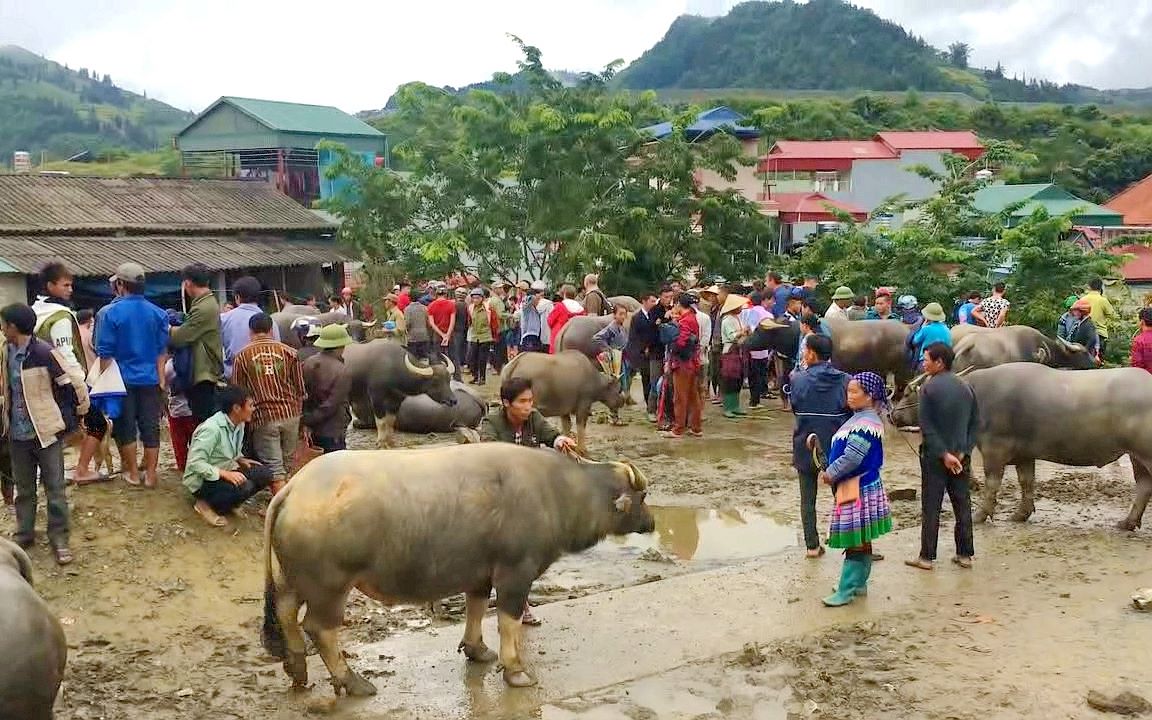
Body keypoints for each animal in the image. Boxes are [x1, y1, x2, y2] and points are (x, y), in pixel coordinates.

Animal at [263, 440, 658, 695]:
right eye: (642, 496)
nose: (651, 522)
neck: (555, 492)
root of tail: (294, 488)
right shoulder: (515, 573)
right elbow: (509, 621)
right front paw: (515, 670)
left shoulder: (479, 572)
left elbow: (477, 608)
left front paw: (476, 649)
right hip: (330, 586)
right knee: (319, 628)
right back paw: (352, 681)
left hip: (290, 579)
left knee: (285, 613)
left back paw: (297, 669)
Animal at [889, 364, 1152, 527]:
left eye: (910, 393)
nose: (893, 415)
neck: (974, 395)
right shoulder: (1025, 455)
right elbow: (1027, 482)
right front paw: (1020, 514)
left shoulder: (994, 450)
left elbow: (992, 484)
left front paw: (980, 514)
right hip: (1135, 456)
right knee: (1143, 485)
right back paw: (1128, 523)